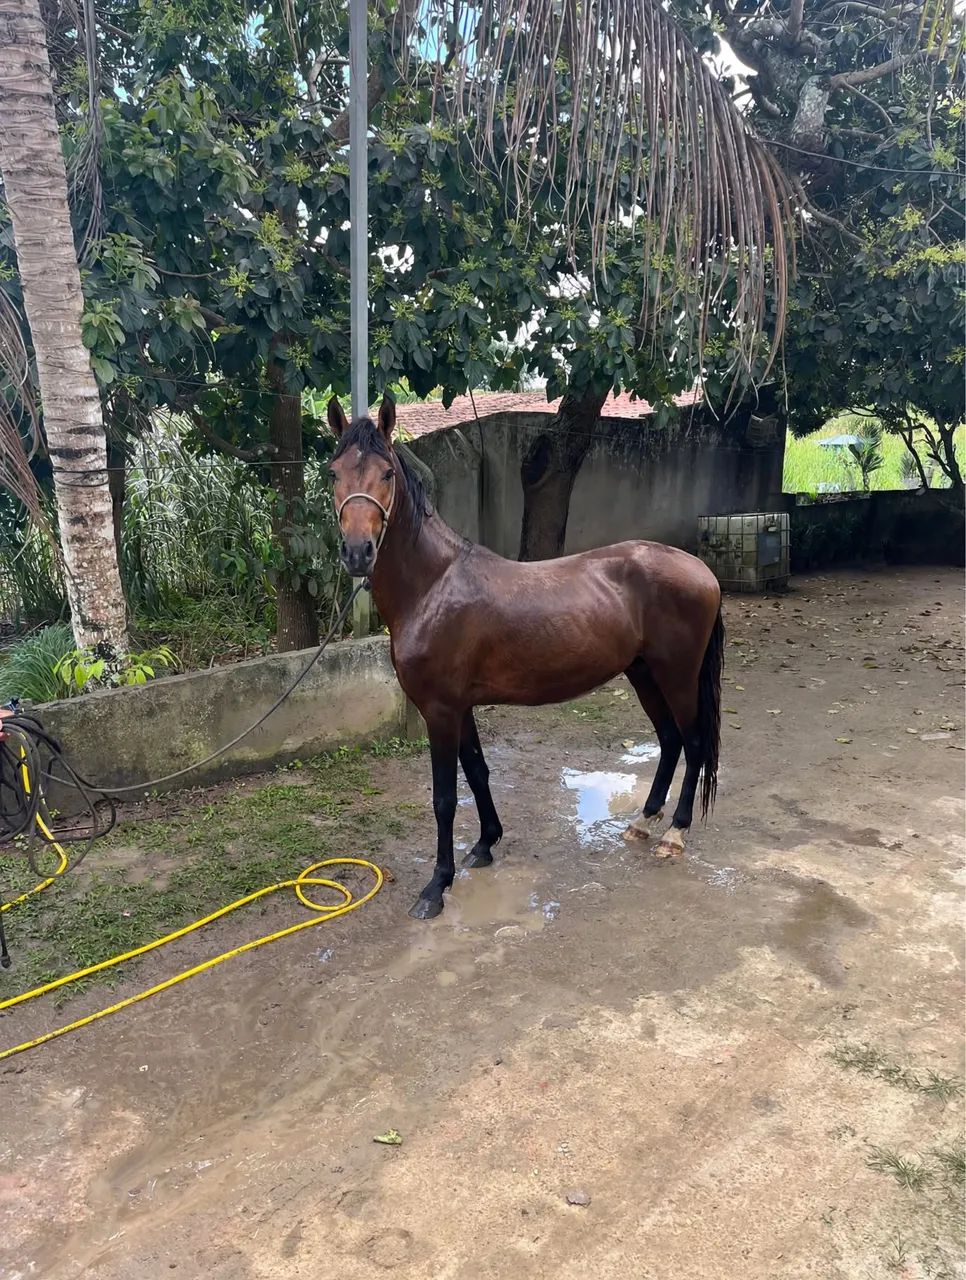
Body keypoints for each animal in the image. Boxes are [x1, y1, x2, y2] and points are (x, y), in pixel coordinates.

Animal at [327, 395, 724, 920]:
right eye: (334, 473)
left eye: (387, 473)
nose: (357, 552)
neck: (433, 586)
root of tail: (702, 570)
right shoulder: (460, 707)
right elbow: (477, 772)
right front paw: (485, 845)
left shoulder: (440, 710)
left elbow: (445, 798)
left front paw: (436, 886)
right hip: (643, 674)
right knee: (670, 739)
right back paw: (643, 822)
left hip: (677, 675)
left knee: (694, 742)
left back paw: (674, 833)